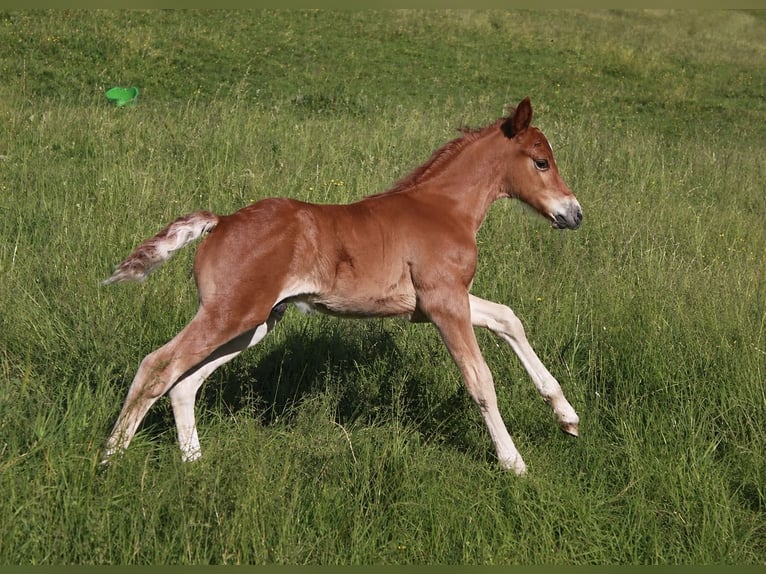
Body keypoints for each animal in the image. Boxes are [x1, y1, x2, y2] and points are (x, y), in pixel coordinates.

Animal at [101, 97, 582, 475]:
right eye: (541, 162)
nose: (574, 214)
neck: (444, 209)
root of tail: (222, 222)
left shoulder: (440, 302)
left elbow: (508, 318)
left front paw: (567, 416)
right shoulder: (444, 304)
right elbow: (480, 380)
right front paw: (513, 462)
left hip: (254, 322)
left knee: (184, 383)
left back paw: (193, 462)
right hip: (229, 313)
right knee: (156, 366)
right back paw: (109, 459)